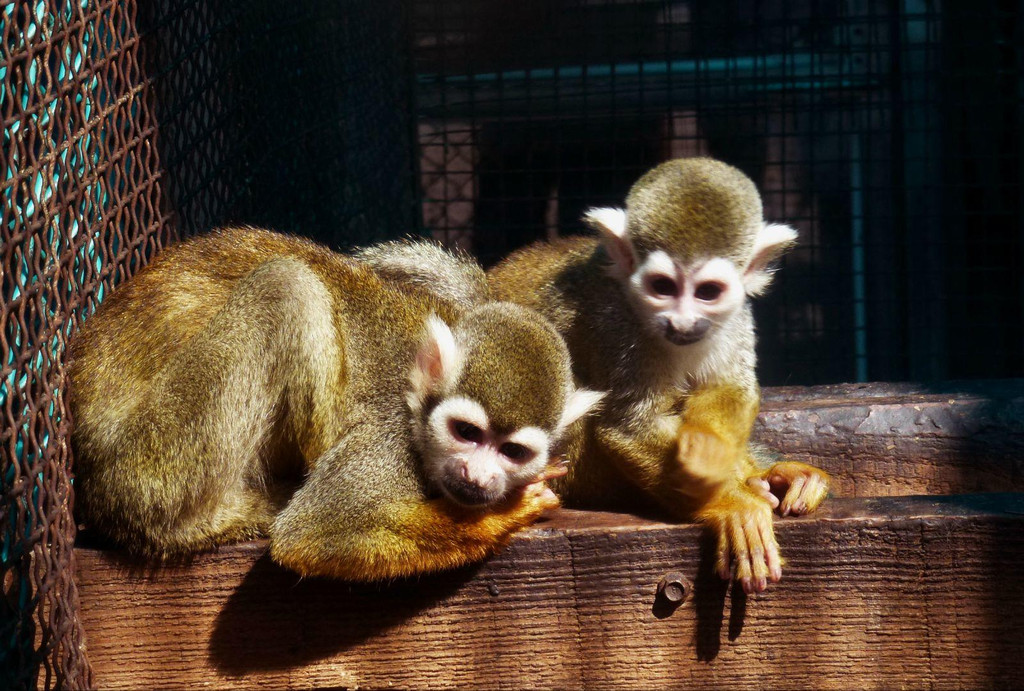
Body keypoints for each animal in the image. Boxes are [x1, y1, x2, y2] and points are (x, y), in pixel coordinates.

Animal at [70, 229, 598, 581]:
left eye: (512, 452)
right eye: (466, 433)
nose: (477, 476)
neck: (417, 411)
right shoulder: (388, 440)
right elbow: (314, 534)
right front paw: (504, 515)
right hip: (149, 466)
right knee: (288, 286)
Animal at [487, 157, 831, 593]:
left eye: (707, 292)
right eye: (662, 286)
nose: (681, 322)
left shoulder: (735, 315)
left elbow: (730, 387)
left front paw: (713, 456)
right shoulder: (615, 324)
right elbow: (627, 425)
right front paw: (730, 502)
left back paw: (770, 476)